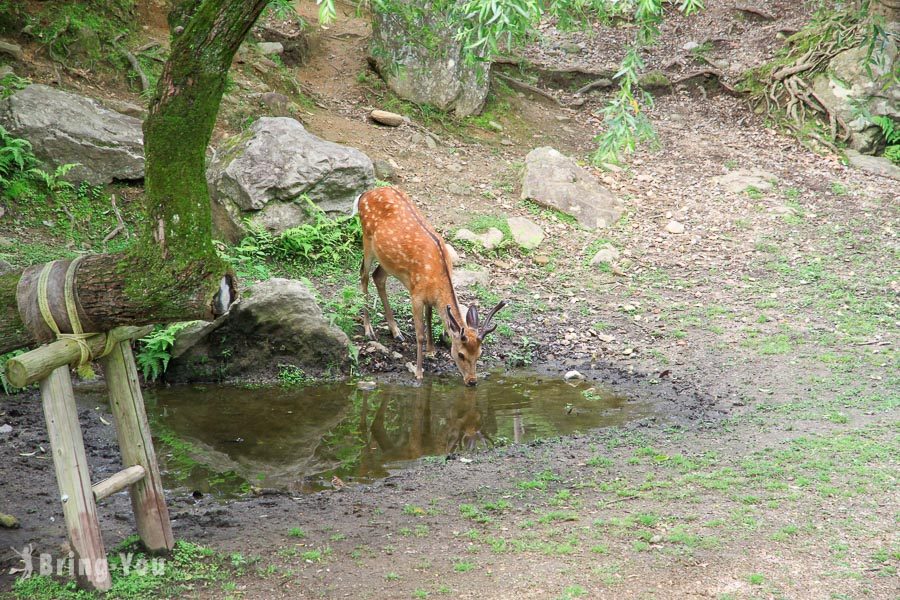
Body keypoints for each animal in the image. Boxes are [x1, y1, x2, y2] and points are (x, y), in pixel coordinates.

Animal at [356, 185, 506, 386]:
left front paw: (432, 349)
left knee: (377, 276)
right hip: (367, 240)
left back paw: (396, 331)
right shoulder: (416, 293)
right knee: (363, 275)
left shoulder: (428, 296)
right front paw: (419, 372)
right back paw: (369, 330)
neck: (437, 277)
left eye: (480, 354)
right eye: (461, 354)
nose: (472, 381)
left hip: (387, 260)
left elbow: (429, 315)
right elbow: (419, 333)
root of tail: (364, 194)